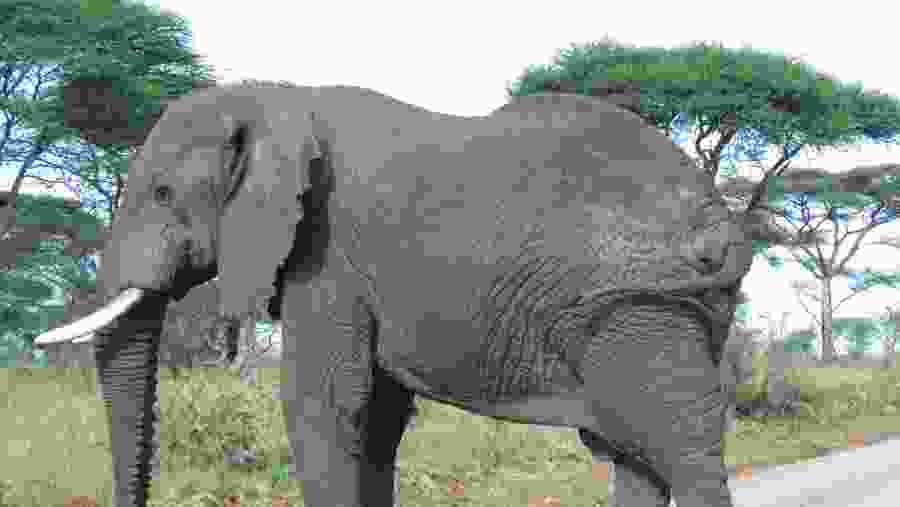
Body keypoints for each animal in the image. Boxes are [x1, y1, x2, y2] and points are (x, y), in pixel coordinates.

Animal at [36, 80, 783, 507]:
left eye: (163, 193)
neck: (278, 98)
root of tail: (723, 219)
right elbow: (378, 416)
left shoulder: (327, 257)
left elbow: (325, 403)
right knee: (633, 452)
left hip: (644, 306)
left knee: (680, 445)